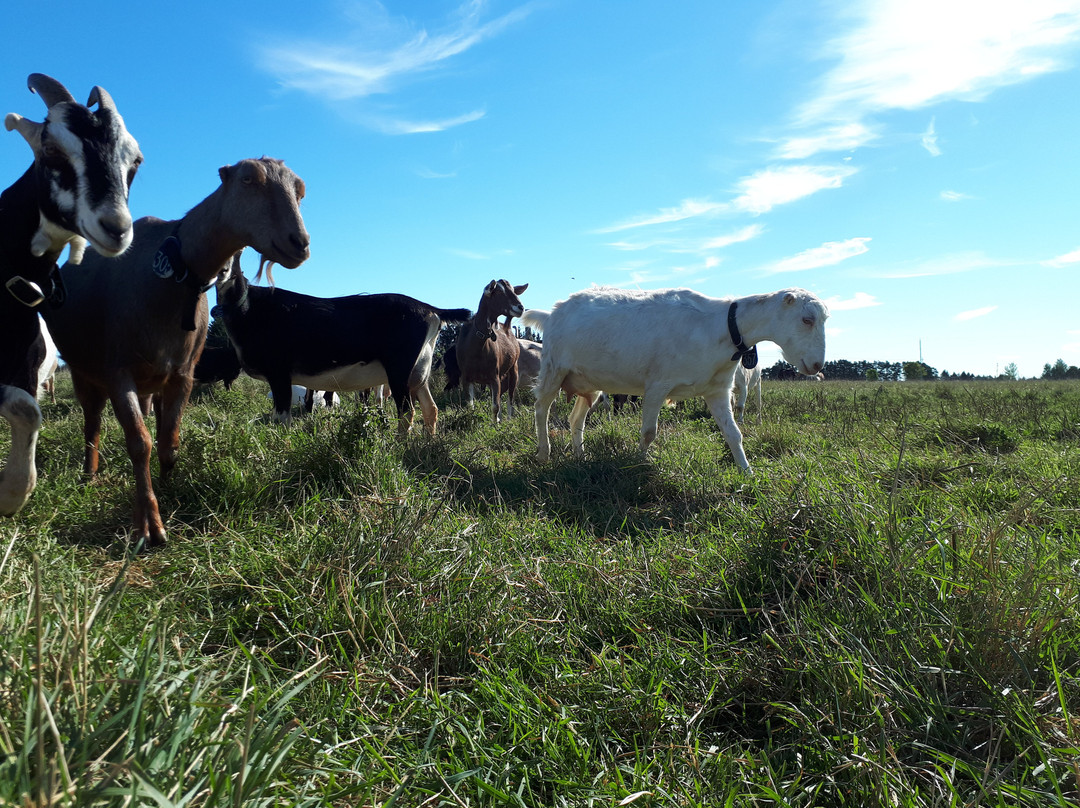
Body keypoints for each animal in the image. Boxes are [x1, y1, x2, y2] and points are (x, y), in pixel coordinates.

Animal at [1, 73, 141, 516]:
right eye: (51, 149)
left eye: (135, 161)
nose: (116, 228)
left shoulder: (23, 369)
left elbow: (27, 410)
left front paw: (11, 493)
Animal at [44, 157, 309, 548]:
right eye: (248, 179)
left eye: (300, 190)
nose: (299, 243)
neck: (171, 278)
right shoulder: (118, 371)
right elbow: (140, 443)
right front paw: (149, 525)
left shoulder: (183, 372)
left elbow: (169, 442)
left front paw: (168, 491)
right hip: (84, 372)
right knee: (92, 424)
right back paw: (89, 474)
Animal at [214, 255, 471, 435]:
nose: (222, 272)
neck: (250, 308)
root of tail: (430, 309)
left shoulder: (279, 374)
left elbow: (282, 420)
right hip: (419, 372)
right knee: (430, 408)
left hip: (399, 370)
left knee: (407, 411)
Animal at [454, 280, 528, 423]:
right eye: (498, 291)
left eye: (513, 290)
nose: (520, 307)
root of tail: (507, 327)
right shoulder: (466, 378)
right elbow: (470, 406)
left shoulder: (494, 377)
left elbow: (495, 406)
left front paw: (494, 425)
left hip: (513, 370)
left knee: (510, 398)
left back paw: (508, 420)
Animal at [522, 286, 827, 474]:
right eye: (806, 319)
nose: (817, 365)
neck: (719, 326)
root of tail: (552, 313)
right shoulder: (657, 385)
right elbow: (648, 432)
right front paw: (639, 463)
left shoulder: (718, 390)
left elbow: (733, 433)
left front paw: (747, 472)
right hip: (554, 368)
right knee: (541, 409)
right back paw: (544, 453)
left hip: (590, 383)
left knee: (576, 419)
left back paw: (580, 456)